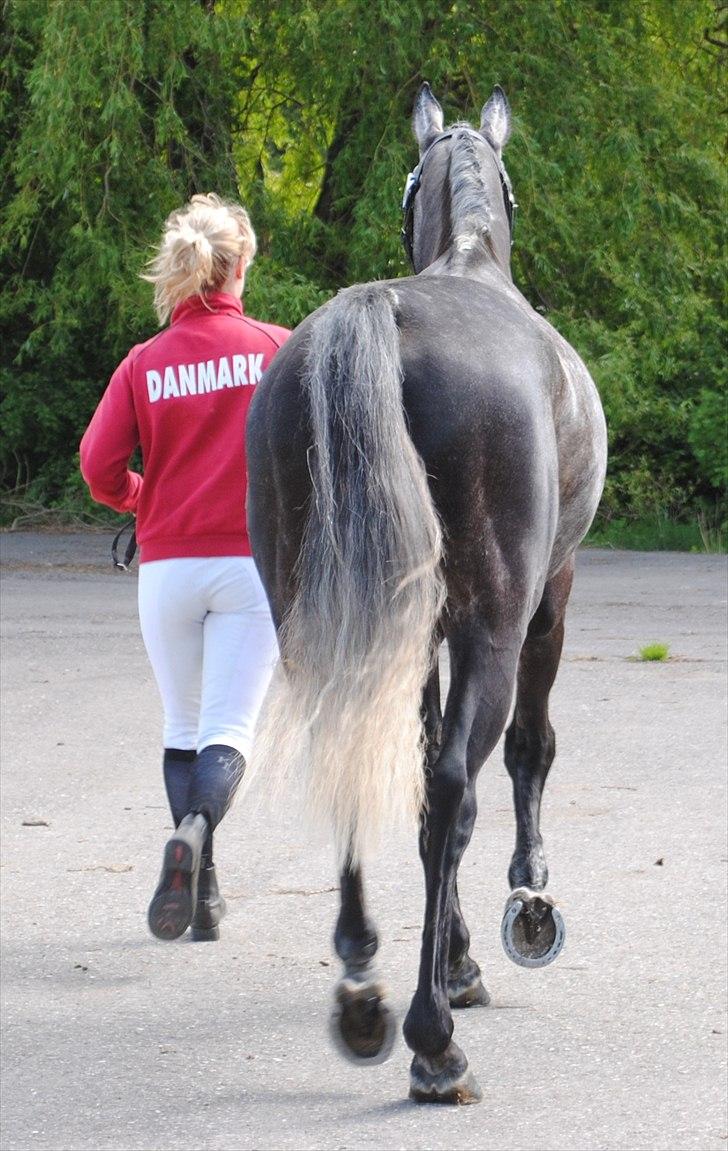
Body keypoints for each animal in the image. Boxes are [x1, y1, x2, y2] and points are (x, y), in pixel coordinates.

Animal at [247, 83, 603, 1104]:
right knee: (452, 786)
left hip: (326, 624)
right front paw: (526, 904)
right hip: (493, 627)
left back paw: (366, 993)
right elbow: (525, 752)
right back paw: (433, 1039)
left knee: (360, 757)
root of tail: (384, 314)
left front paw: (454, 952)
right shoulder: (546, 600)